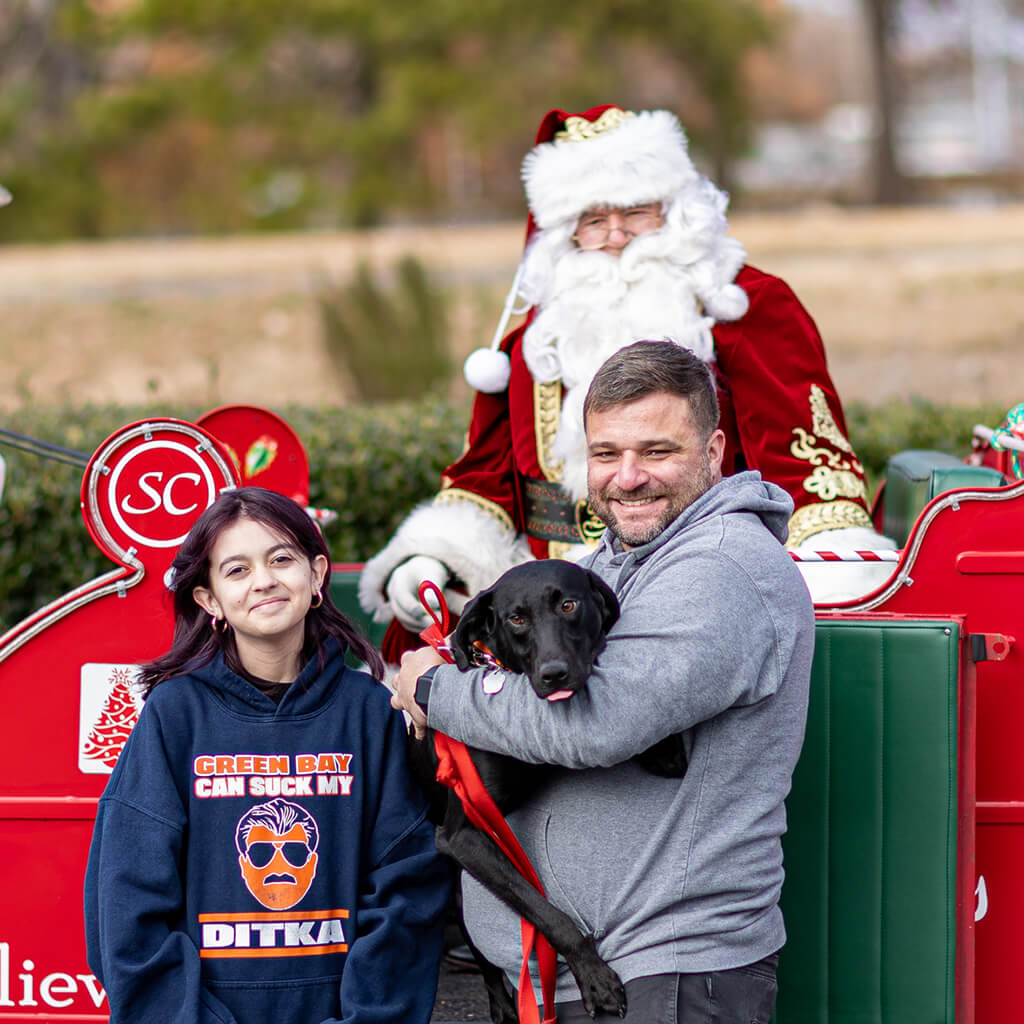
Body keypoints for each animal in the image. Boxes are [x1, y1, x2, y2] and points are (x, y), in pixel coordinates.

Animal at [405, 561, 679, 1024]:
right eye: (516, 618)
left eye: (568, 605)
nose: (554, 675)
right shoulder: (463, 836)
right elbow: (548, 911)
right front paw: (595, 976)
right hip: (459, 888)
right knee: (485, 963)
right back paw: (504, 1008)